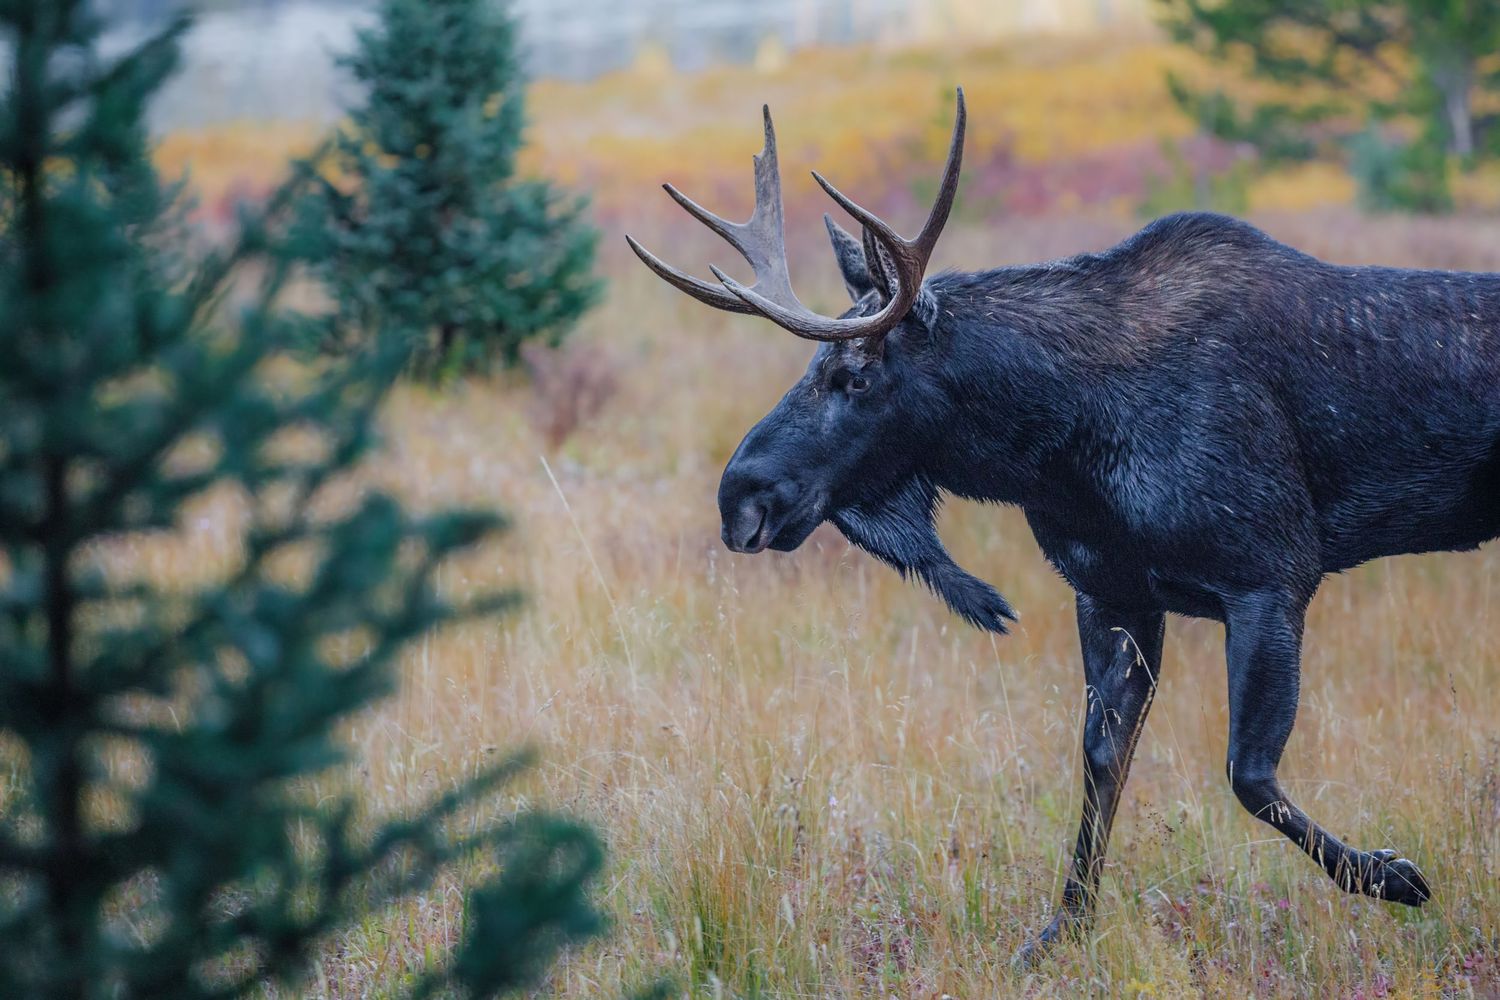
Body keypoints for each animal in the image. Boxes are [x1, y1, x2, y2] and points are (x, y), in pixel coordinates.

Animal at [626, 88, 1500, 962]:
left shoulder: (1270, 573)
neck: (1062, 436)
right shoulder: (1112, 592)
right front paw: (1062, 931)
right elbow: (1101, 760)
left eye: (856, 374)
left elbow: (1247, 771)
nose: (740, 496)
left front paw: (1394, 877)